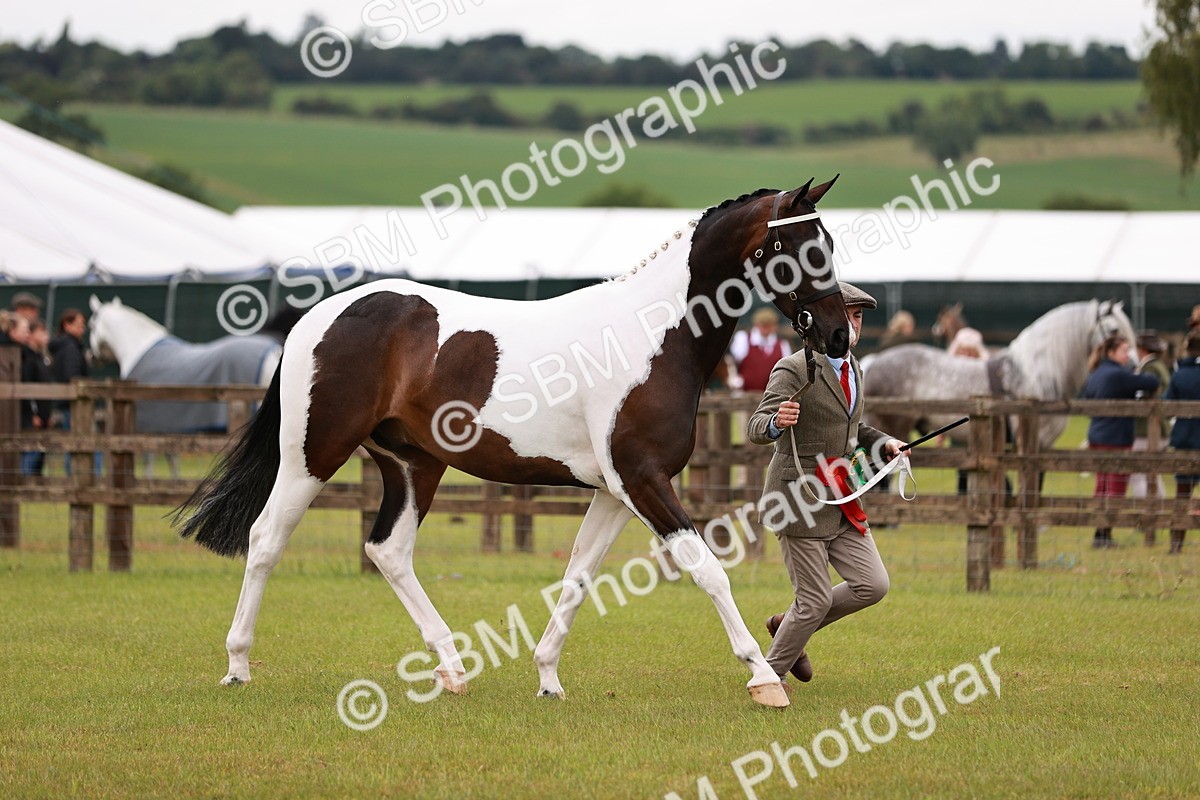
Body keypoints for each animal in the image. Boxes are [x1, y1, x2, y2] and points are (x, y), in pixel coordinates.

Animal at [87, 297, 282, 472]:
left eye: (91, 325)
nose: (91, 357)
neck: (137, 348)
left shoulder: (148, 427)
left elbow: (150, 458)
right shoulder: (168, 428)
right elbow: (172, 457)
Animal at [174, 179, 852, 709]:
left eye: (828, 243)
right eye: (797, 248)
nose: (840, 335)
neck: (654, 336)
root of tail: (314, 319)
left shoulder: (616, 490)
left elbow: (579, 576)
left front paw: (548, 676)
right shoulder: (642, 480)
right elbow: (708, 571)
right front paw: (764, 678)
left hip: (413, 465)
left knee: (389, 551)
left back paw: (451, 669)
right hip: (312, 455)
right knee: (266, 540)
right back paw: (237, 666)